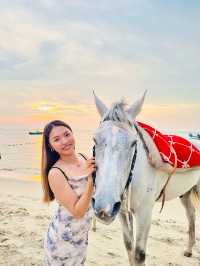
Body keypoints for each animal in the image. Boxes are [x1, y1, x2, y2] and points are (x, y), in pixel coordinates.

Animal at [92, 92, 200, 266]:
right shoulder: (122, 211)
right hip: (185, 193)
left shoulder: (144, 213)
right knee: (191, 214)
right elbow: (129, 247)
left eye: (133, 143)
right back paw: (189, 250)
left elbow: (139, 254)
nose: (104, 208)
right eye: (95, 139)